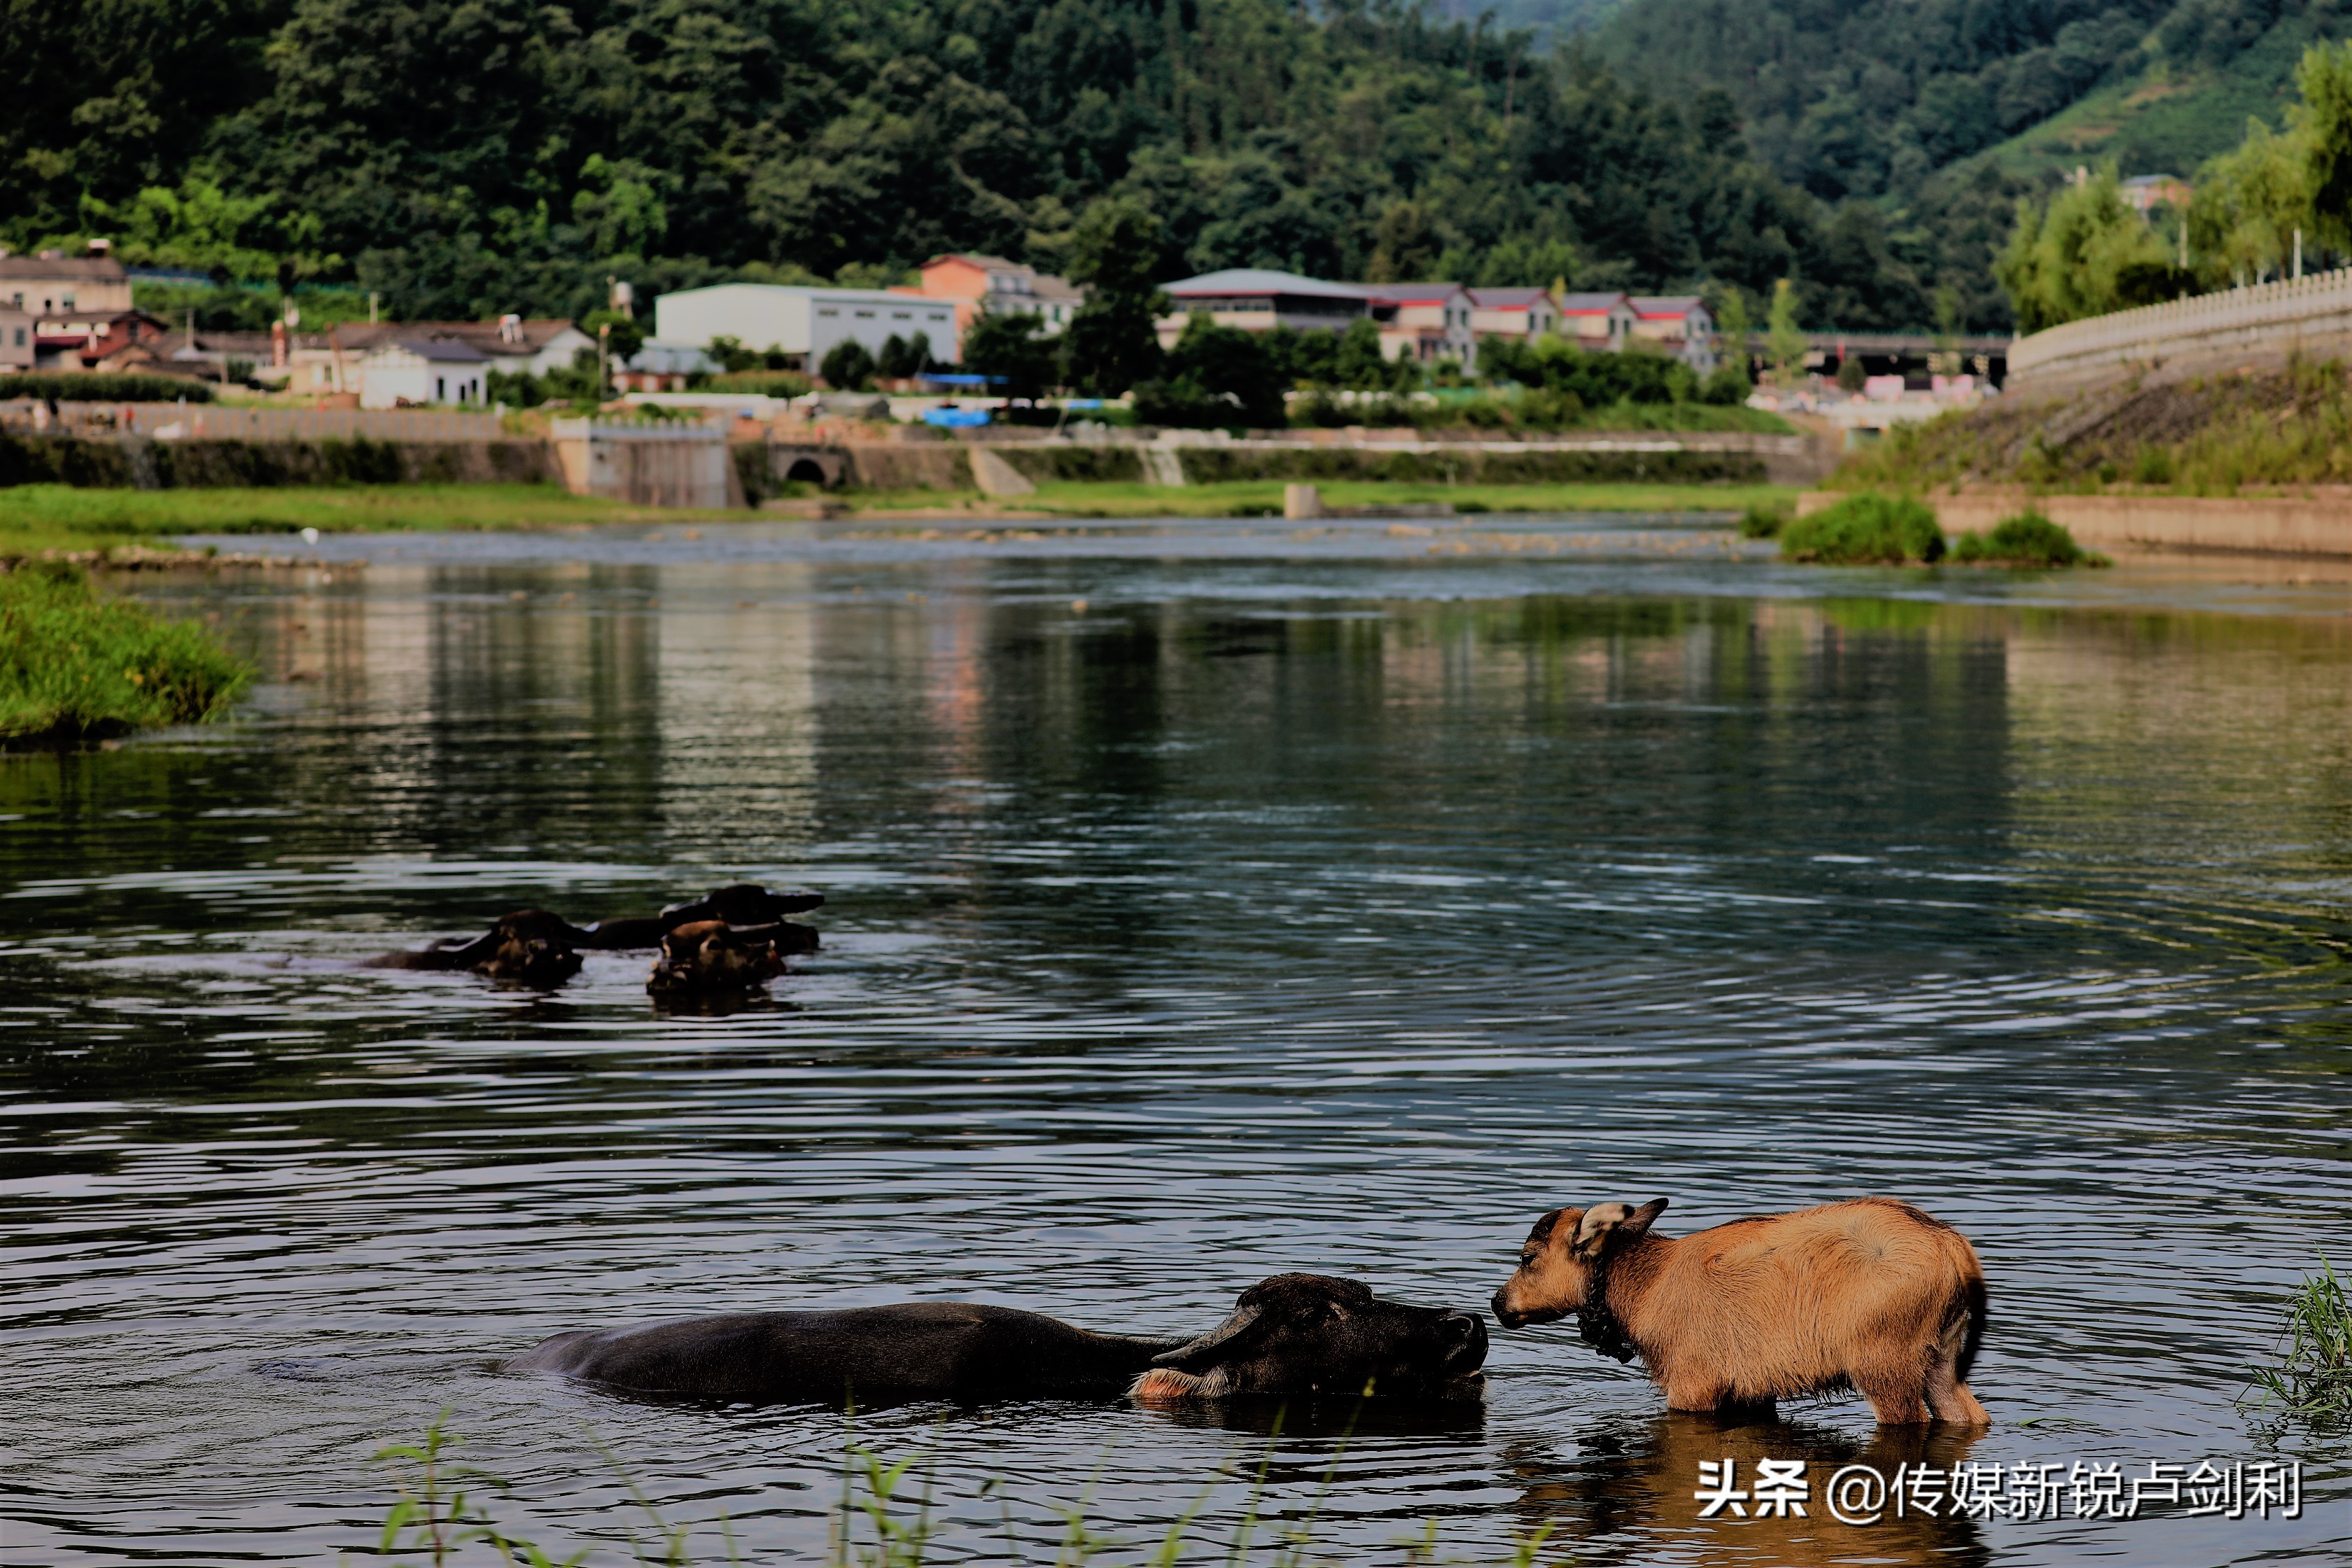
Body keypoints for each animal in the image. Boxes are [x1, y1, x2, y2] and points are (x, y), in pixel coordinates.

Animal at [1486, 1203, 1984, 1420]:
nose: (1497, 1302)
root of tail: (1954, 1249)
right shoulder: (1753, 1389)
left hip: (1884, 1362)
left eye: (1528, 1257)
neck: (1641, 1289)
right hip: (1941, 1359)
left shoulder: (1693, 1383)